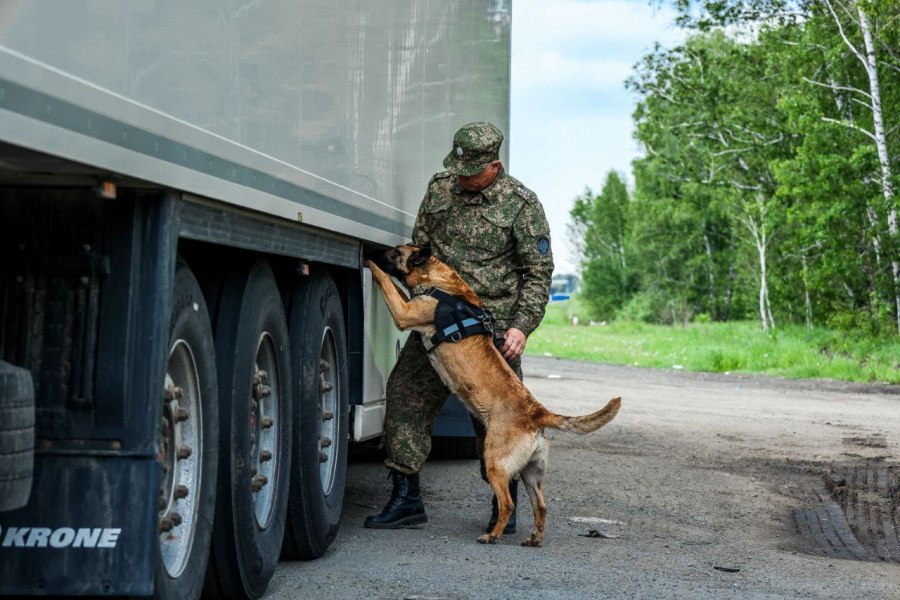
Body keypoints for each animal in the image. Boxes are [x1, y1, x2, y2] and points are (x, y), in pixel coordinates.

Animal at [366, 245, 620, 548]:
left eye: (395, 253)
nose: (375, 250)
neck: (443, 284)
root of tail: (537, 412)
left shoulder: (404, 312)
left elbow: (387, 281)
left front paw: (369, 263)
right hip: (530, 473)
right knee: (541, 506)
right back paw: (534, 539)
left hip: (494, 462)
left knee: (508, 503)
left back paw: (493, 535)